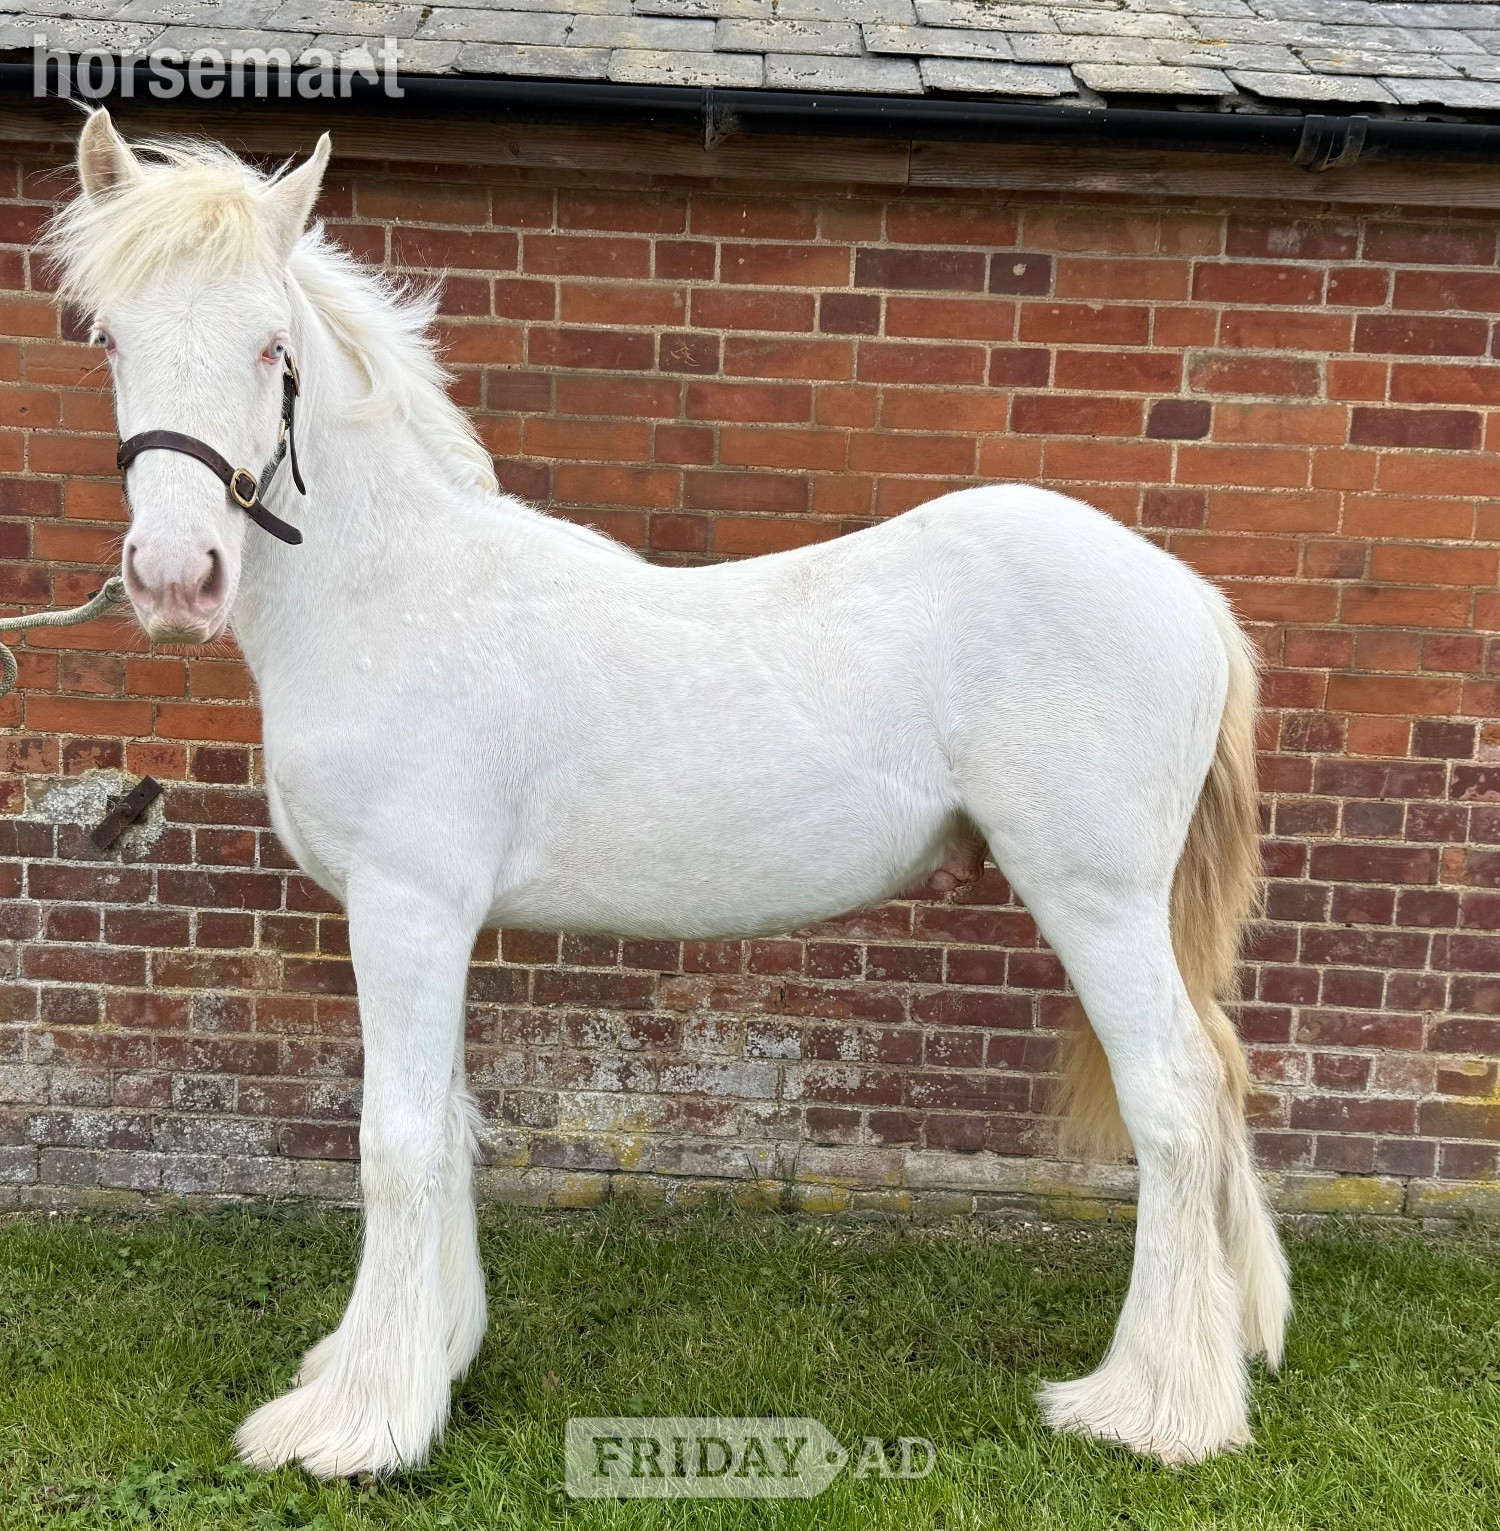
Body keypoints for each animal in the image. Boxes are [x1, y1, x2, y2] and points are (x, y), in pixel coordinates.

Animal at [47, 110, 1289, 1479]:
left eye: (270, 343)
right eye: (106, 336)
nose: (176, 576)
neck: (397, 597)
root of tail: (1189, 598)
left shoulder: (406, 908)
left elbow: (396, 1140)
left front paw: (356, 1422)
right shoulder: (435, 922)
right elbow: (451, 1126)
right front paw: (433, 1359)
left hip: (1096, 898)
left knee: (1173, 1105)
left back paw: (1152, 1405)